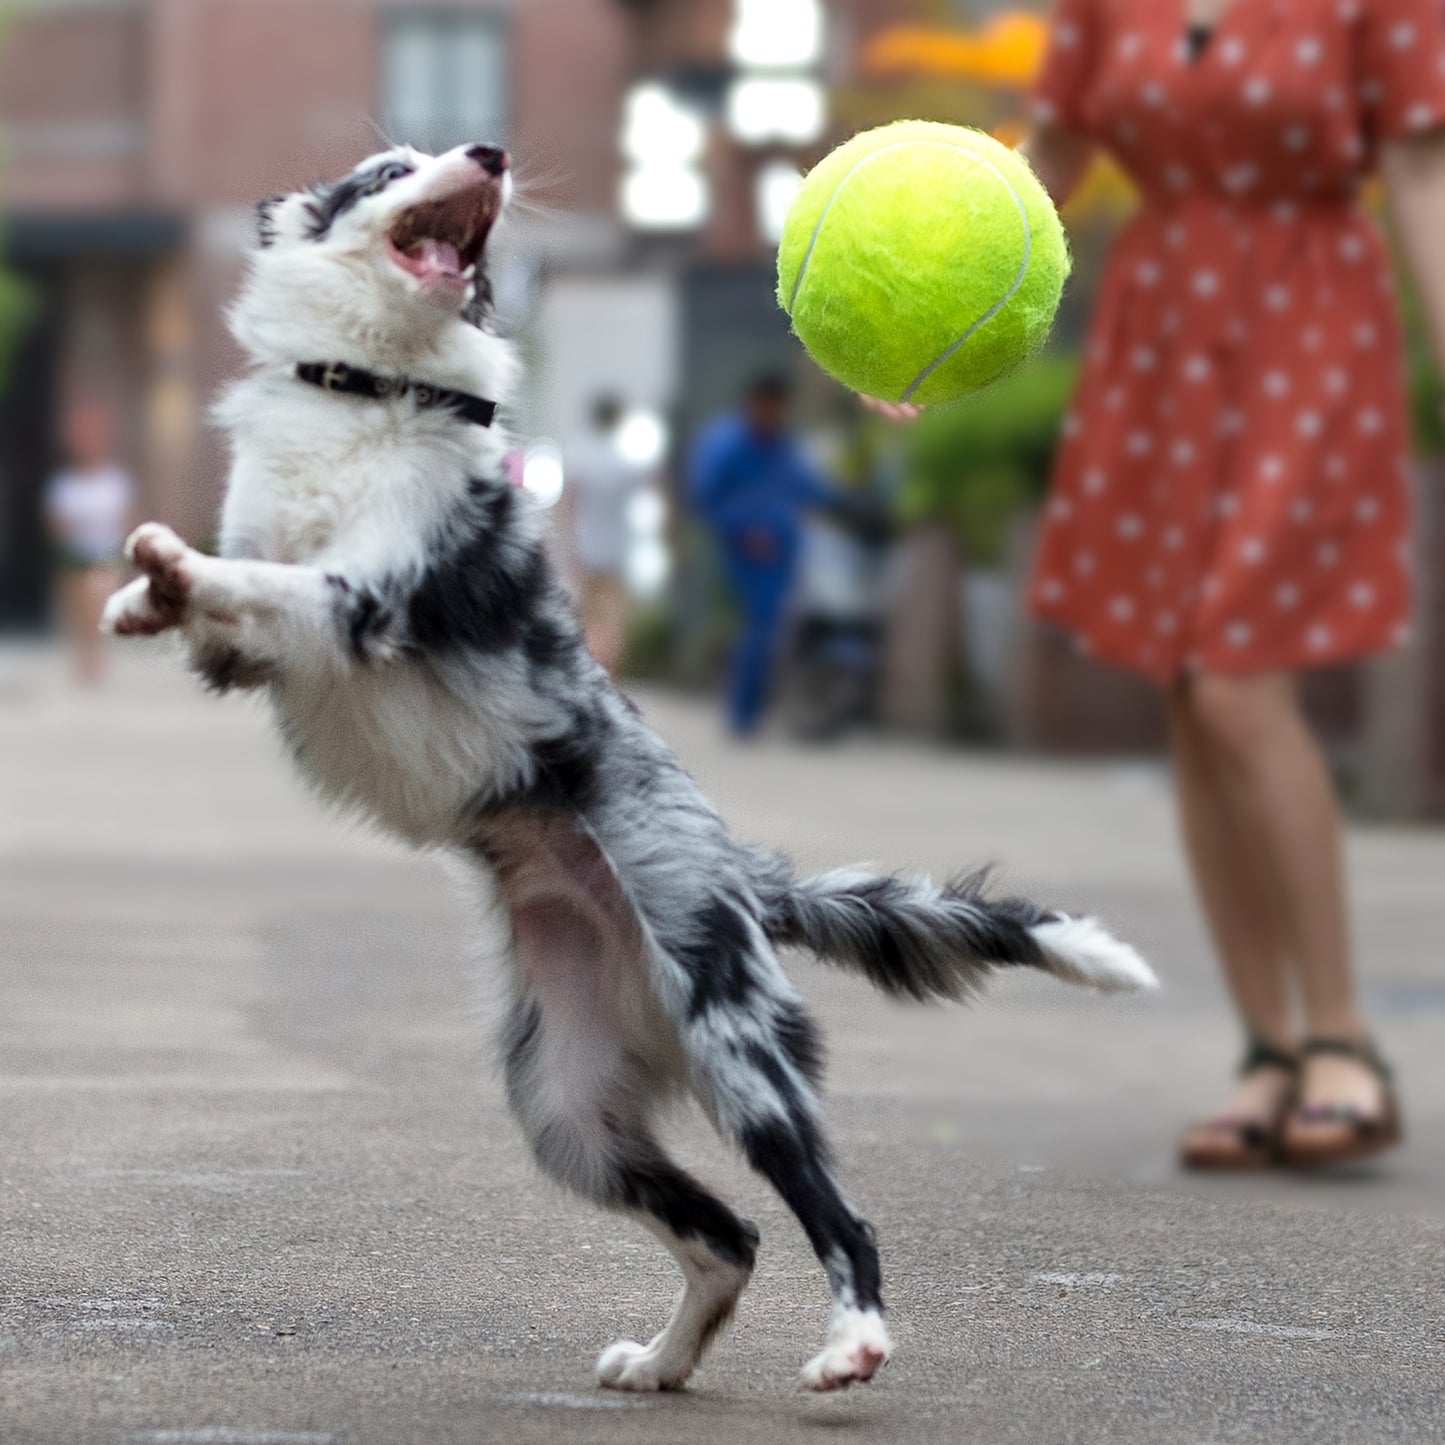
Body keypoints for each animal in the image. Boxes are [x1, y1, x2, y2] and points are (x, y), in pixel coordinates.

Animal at [101, 140, 1156, 1392]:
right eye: (391, 167)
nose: (489, 152)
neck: (375, 389)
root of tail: (744, 876)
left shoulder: (365, 602)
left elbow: (263, 579)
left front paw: (165, 560)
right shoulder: (245, 657)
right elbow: (231, 591)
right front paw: (139, 593)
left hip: (734, 1043)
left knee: (832, 1214)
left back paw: (850, 1341)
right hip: (566, 1107)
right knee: (727, 1236)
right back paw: (661, 1360)